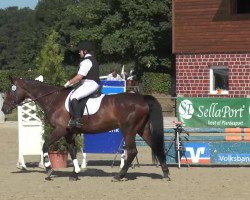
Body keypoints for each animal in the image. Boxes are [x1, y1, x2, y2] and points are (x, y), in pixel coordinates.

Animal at [1, 77, 170, 181]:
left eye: (11, 90)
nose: (4, 109)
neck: (54, 99)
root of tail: (142, 98)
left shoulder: (60, 130)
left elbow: (45, 145)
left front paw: (49, 170)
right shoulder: (68, 133)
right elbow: (72, 150)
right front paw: (75, 174)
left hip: (128, 130)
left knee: (133, 151)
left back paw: (119, 176)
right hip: (142, 130)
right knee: (156, 146)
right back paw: (165, 174)